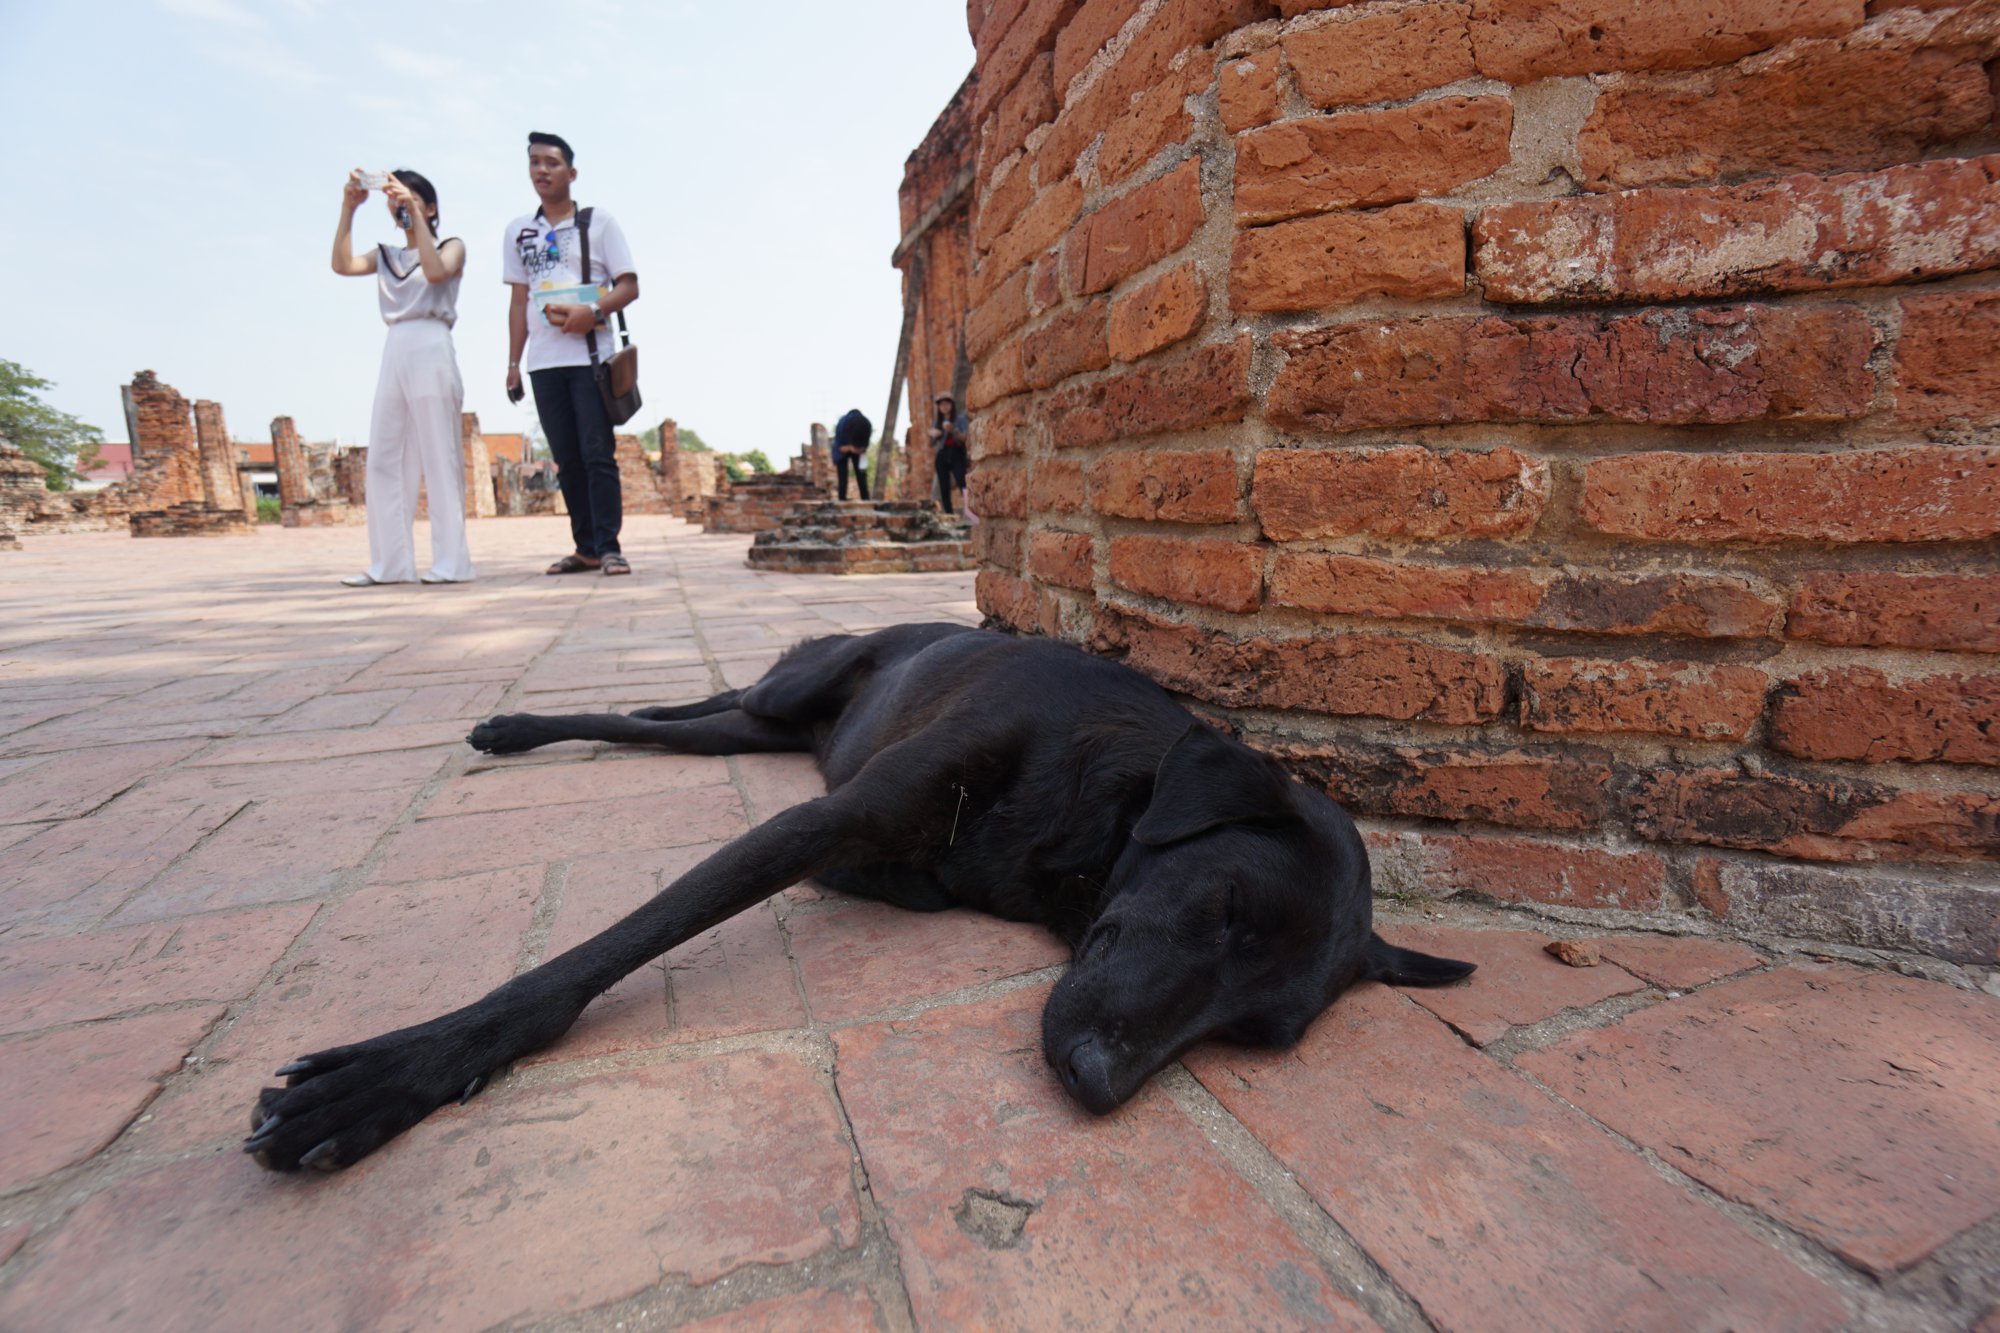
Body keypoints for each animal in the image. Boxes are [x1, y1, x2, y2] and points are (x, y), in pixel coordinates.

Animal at [246, 616, 1472, 1168]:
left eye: (1253, 1037)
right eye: (1221, 907)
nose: (1095, 1083)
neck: (1109, 788)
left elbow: (909, 881)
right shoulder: (822, 818)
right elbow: (601, 953)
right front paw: (402, 1070)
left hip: (765, 731)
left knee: (687, 725)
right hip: (793, 692)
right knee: (695, 701)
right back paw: (516, 725)